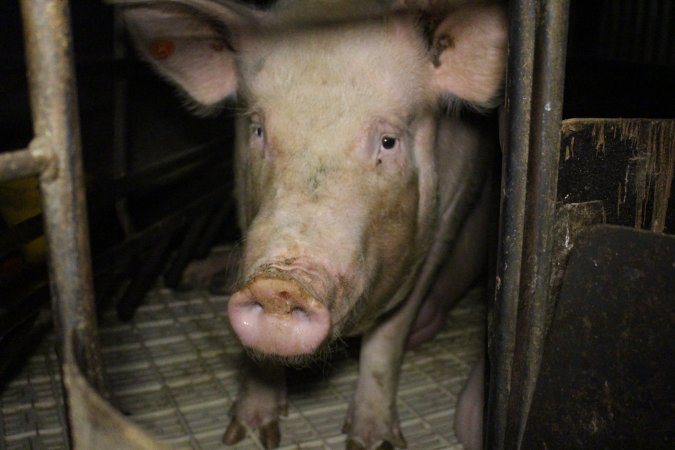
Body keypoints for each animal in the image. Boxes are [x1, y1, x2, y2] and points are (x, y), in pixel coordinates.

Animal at [119, 1, 504, 448]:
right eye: (258, 130)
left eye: (388, 142)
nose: (278, 284)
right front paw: (250, 432)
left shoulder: (443, 226)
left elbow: (388, 338)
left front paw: (370, 440)